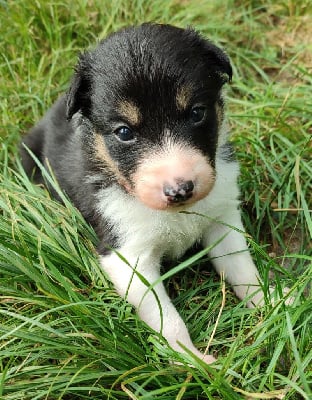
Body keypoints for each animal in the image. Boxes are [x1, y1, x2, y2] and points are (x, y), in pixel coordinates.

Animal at [20, 23, 268, 364]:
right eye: (124, 132)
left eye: (197, 113)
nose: (180, 189)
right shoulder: (127, 257)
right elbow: (167, 318)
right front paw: (193, 361)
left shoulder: (222, 218)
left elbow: (243, 268)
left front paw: (274, 303)